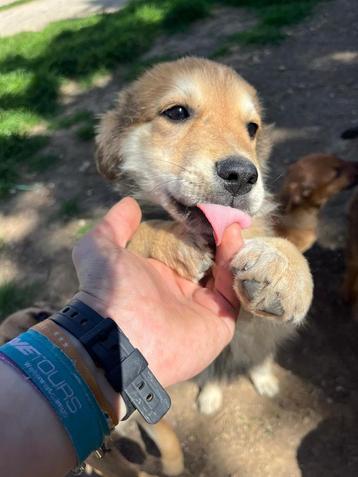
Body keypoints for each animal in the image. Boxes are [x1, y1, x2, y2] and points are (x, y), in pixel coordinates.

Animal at [98, 57, 314, 410]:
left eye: (252, 128)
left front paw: (283, 269)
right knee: (211, 374)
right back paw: (210, 398)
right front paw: (179, 243)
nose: (242, 176)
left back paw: (265, 380)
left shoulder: (254, 325)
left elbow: (283, 250)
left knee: (259, 358)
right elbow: (141, 228)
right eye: (176, 112)